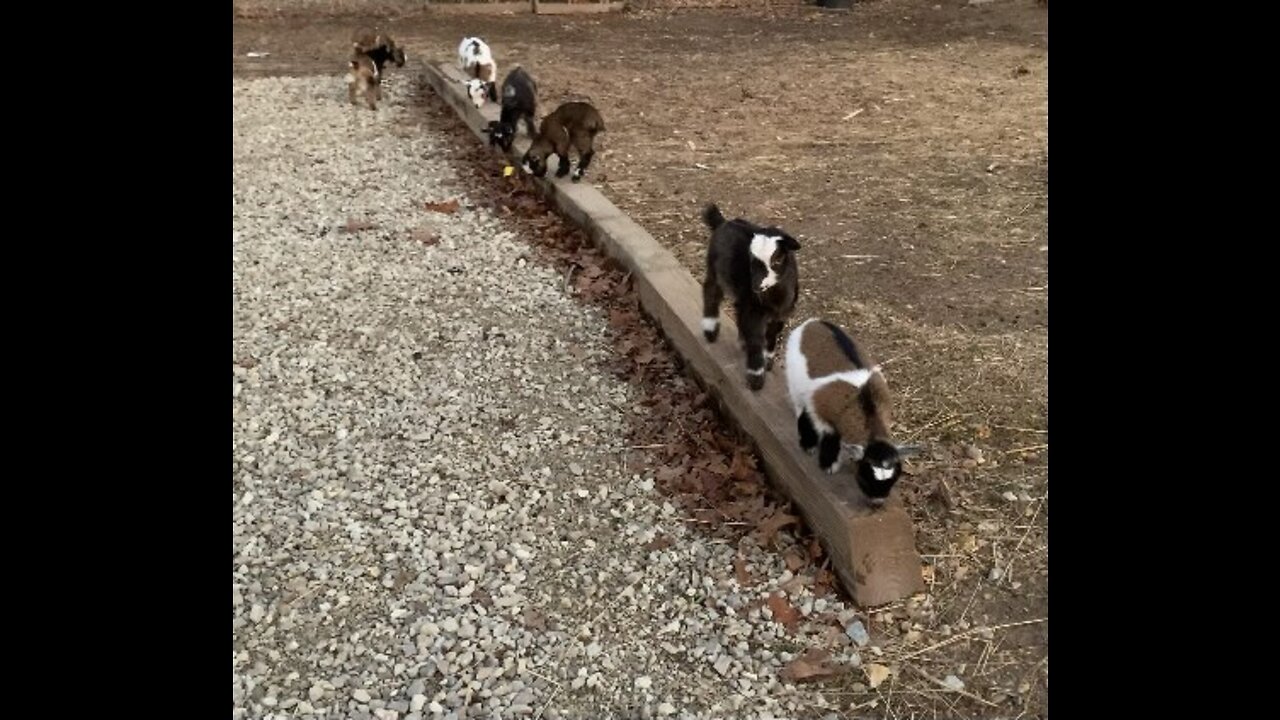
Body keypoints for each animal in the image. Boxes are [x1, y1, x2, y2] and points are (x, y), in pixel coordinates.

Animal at [701, 202, 798, 389]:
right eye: (751, 259)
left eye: (777, 260)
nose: (756, 286)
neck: (774, 299)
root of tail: (723, 222)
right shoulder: (754, 311)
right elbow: (756, 338)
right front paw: (756, 377)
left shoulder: (781, 314)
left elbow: (772, 336)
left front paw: (768, 360)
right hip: (714, 268)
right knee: (711, 291)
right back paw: (710, 330)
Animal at [778, 316, 921, 507]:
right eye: (864, 477)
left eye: (893, 481)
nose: (877, 502)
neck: (865, 403)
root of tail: (814, 321)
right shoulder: (821, 410)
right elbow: (830, 435)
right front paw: (828, 464)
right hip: (795, 383)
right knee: (801, 409)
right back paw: (807, 444)